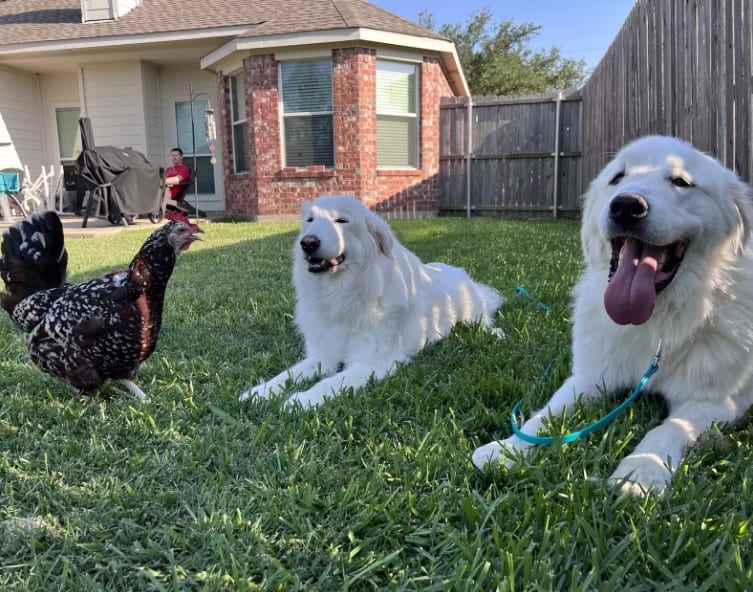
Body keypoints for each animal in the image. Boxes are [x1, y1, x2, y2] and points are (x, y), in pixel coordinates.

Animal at [238, 194, 502, 408]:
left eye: (342, 221)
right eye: (310, 220)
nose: (308, 242)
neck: (342, 293)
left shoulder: (375, 362)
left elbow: (329, 383)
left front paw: (299, 401)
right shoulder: (322, 356)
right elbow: (287, 374)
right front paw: (259, 392)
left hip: (471, 311)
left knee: (485, 321)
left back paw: (494, 333)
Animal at [472, 136, 752, 498]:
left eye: (681, 181)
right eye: (618, 178)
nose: (627, 206)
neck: (657, 322)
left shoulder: (715, 402)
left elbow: (668, 428)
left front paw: (642, 470)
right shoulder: (587, 378)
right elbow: (546, 415)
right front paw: (507, 448)